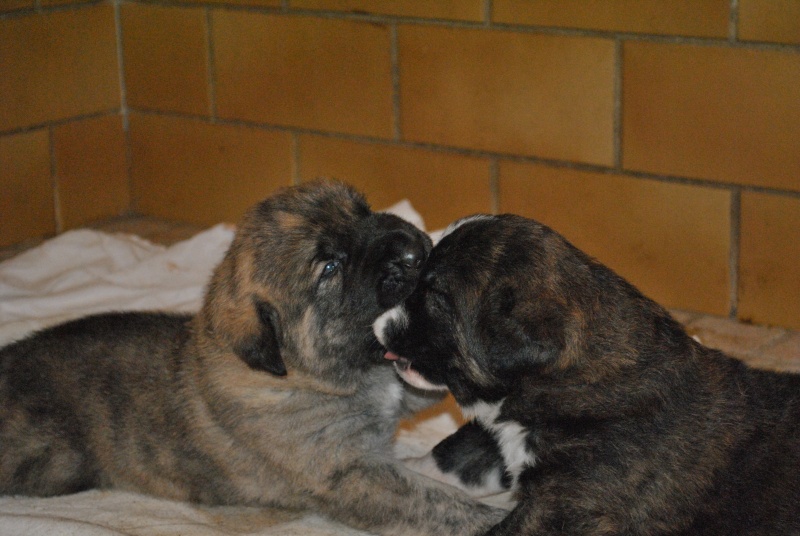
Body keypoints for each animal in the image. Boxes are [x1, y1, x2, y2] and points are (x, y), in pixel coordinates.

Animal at [0, 181, 504, 536]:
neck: (304, 374)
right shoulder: (348, 474)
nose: (414, 249)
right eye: (330, 267)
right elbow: (440, 505)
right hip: (52, 461)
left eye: (362, 211)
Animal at [376, 215, 800, 536]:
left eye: (437, 296)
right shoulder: (500, 441)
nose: (378, 326)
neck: (568, 378)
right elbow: (451, 456)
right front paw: (401, 471)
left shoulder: (563, 508)